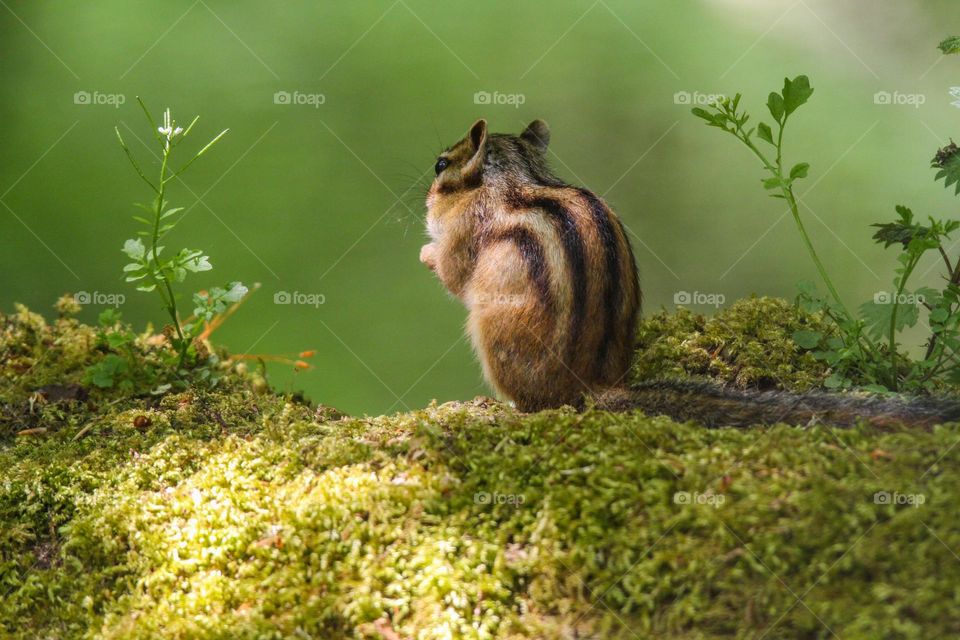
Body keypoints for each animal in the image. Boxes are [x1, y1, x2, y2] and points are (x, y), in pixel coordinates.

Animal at [421, 120, 960, 428]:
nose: (426, 199)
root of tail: (594, 386)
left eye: (440, 164)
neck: (518, 177)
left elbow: (453, 273)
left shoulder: (466, 231)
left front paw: (428, 254)